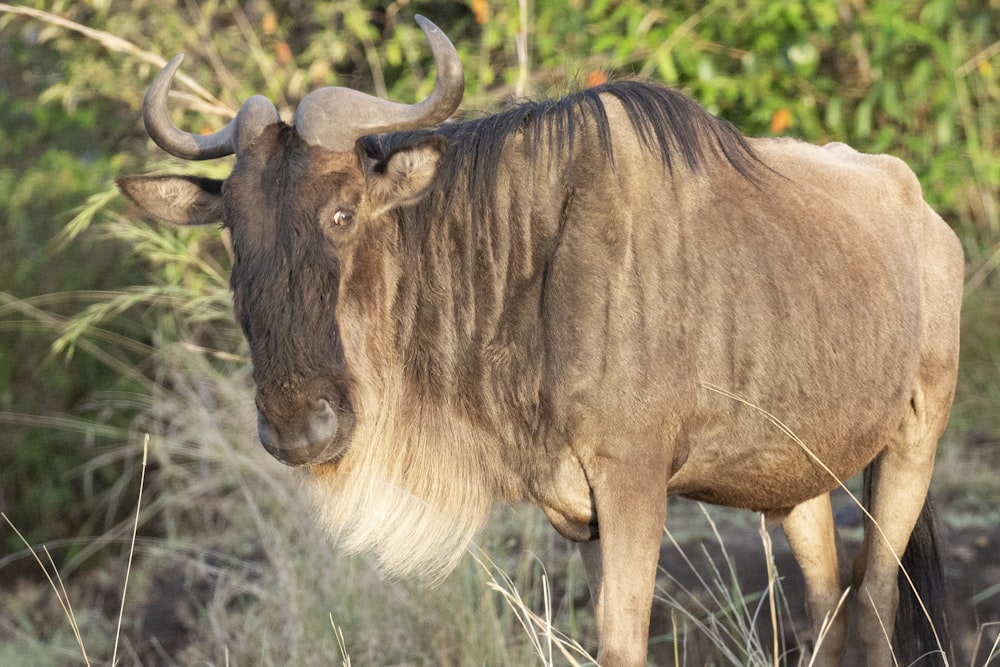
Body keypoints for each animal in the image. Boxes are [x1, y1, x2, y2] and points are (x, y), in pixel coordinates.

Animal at [117, 17, 960, 667]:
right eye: (235, 226)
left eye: (343, 212)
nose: (298, 426)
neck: (529, 265)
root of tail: (928, 219)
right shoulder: (575, 508)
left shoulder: (633, 484)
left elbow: (623, 645)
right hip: (798, 482)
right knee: (826, 603)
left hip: (913, 441)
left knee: (875, 596)